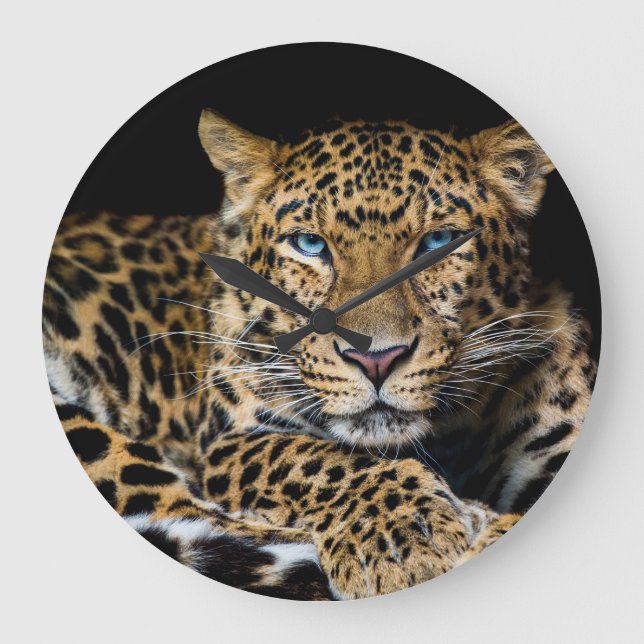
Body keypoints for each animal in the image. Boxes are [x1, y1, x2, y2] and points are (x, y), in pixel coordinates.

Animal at [43, 110, 597, 600]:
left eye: (439, 241)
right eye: (310, 244)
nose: (376, 360)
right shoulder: (233, 438)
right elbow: (315, 460)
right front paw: (405, 538)